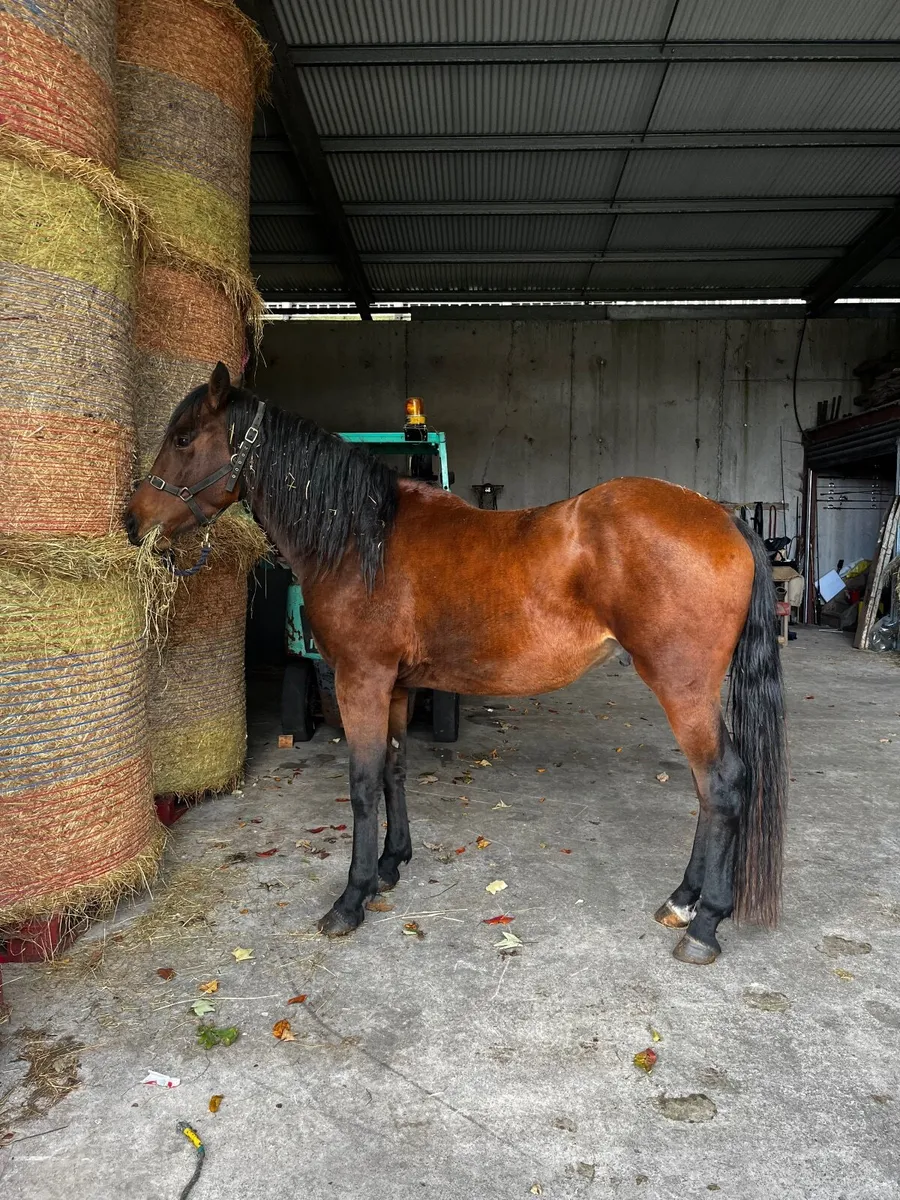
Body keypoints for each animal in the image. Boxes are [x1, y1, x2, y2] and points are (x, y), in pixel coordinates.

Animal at [126, 363, 787, 966]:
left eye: (183, 438)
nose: (133, 521)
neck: (362, 540)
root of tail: (722, 515)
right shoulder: (394, 686)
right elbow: (393, 770)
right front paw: (390, 865)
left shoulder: (360, 679)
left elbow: (361, 784)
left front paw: (350, 900)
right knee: (710, 788)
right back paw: (683, 900)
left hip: (682, 688)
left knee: (721, 783)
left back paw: (705, 923)